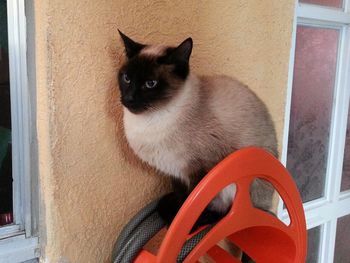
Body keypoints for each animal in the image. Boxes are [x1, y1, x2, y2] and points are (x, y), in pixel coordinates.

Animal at [117, 29, 278, 229]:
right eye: (126, 78)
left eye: (150, 84)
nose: (128, 99)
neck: (152, 119)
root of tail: (266, 205)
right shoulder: (175, 173)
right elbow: (182, 200)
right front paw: (176, 218)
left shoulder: (199, 171)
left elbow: (192, 206)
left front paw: (182, 225)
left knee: (228, 213)